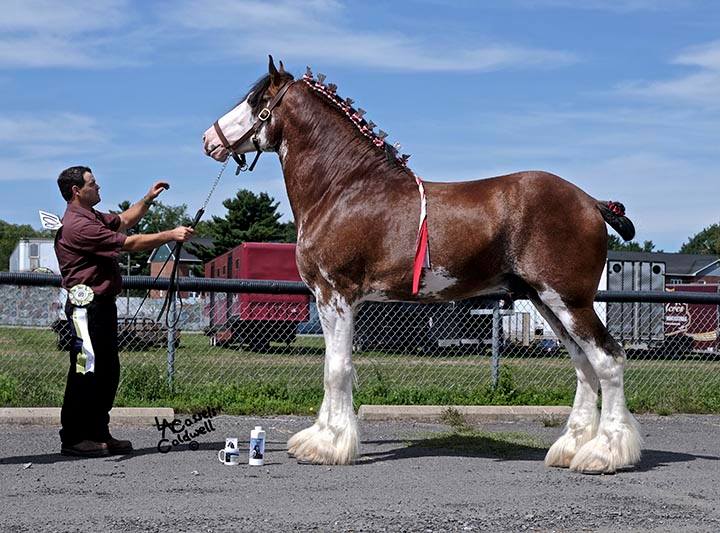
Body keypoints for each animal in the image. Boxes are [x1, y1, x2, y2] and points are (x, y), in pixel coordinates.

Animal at [201, 57, 640, 474]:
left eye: (256, 101)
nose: (209, 139)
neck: (343, 188)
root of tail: (591, 202)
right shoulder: (327, 300)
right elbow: (331, 366)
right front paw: (318, 438)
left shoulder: (336, 295)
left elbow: (337, 370)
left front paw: (329, 446)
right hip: (546, 302)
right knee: (584, 366)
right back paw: (570, 448)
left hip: (570, 301)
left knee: (608, 360)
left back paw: (603, 454)